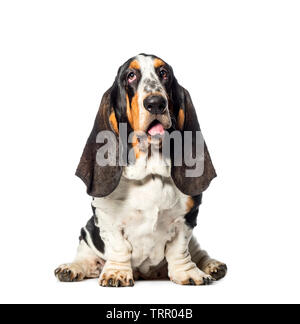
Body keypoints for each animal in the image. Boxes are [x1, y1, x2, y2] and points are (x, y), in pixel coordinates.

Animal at [54, 54, 227, 288]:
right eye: (131, 75)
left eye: (164, 73)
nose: (156, 103)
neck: (150, 171)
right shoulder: (106, 216)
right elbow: (119, 246)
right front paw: (116, 273)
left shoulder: (187, 218)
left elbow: (179, 248)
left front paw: (188, 273)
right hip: (87, 233)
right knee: (86, 256)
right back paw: (71, 268)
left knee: (197, 250)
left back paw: (212, 265)